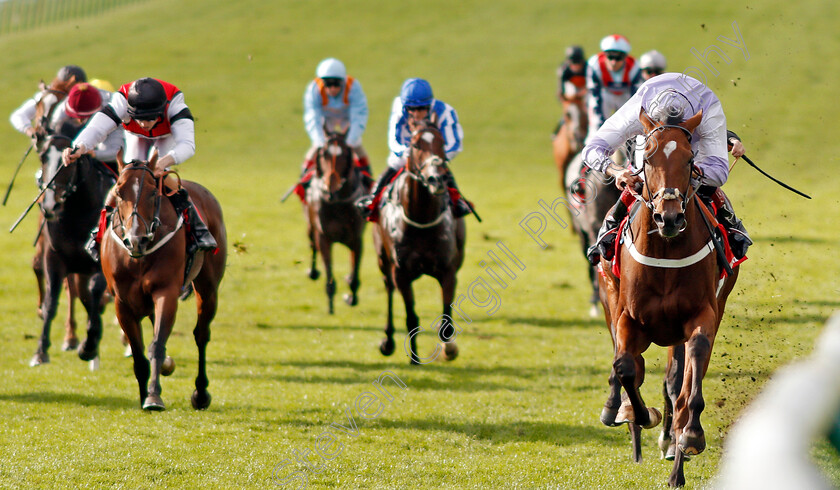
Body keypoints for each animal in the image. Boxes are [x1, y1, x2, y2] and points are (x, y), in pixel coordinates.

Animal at [28, 136, 114, 366]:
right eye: (43, 158)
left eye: (70, 165)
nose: (50, 206)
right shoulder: (54, 258)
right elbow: (51, 302)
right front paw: (41, 351)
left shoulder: (100, 264)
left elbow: (95, 291)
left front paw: (89, 346)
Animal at [101, 153, 226, 410]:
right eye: (119, 191)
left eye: (152, 192)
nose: (135, 240)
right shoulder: (122, 302)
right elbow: (139, 355)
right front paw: (143, 395)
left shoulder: (165, 292)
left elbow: (157, 344)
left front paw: (153, 396)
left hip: (208, 288)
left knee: (201, 334)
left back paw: (200, 393)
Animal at [304, 131, 366, 314]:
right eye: (323, 154)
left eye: (345, 154)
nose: (330, 187)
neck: (337, 202)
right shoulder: (324, 237)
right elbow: (329, 277)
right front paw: (331, 307)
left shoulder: (356, 240)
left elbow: (354, 276)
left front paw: (351, 297)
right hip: (310, 226)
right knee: (312, 245)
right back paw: (313, 272)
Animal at [374, 118, 466, 364]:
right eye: (415, 144)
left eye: (441, 142)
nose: (436, 178)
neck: (421, 218)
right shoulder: (401, 273)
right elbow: (411, 317)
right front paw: (414, 359)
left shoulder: (448, 270)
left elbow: (446, 323)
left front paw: (449, 349)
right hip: (382, 260)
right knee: (388, 289)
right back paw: (388, 341)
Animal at [596, 108, 740, 486]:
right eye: (647, 158)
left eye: (690, 159)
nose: (670, 217)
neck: (665, 250)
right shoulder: (628, 317)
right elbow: (625, 367)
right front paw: (642, 415)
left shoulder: (702, 316)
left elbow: (689, 381)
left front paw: (688, 437)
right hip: (609, 296)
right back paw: (621, 411)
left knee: (681, 380)